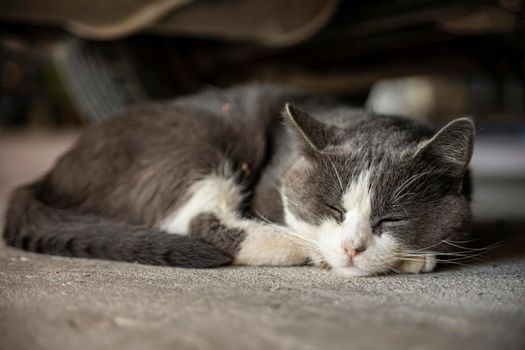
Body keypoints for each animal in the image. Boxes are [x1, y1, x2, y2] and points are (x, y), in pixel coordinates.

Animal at [2, 84, 472, 276]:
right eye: (332, 208)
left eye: (391, 219)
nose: (352, 248)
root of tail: (48, 175)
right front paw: (413, 258)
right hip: (199, 136)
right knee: (201, 222)